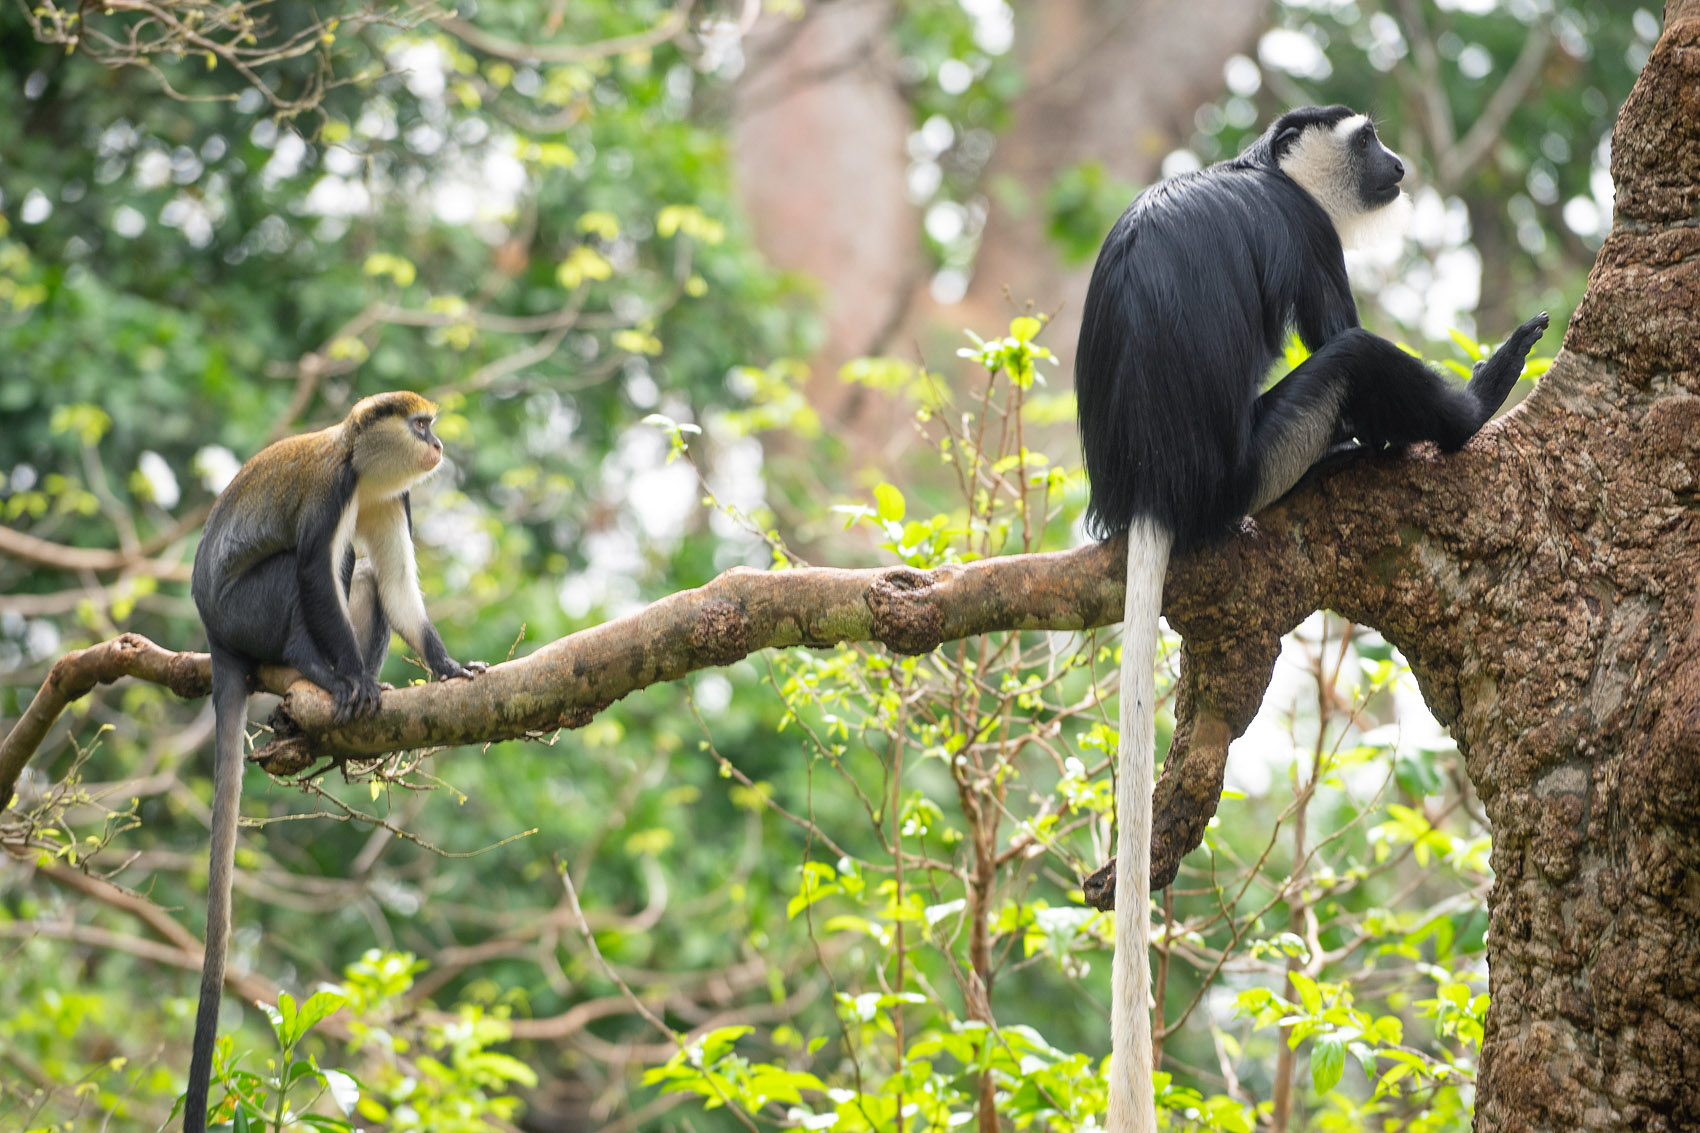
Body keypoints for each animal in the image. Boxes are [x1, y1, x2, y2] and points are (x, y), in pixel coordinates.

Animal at [183, 391, 482, 1129]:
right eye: (421, 425)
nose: (438, 447)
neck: (364, 467)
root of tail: (213, 632)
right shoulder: (332, 490)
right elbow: (317, 572)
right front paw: (347, 678)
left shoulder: (393, 500)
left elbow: (397, 584)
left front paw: (446, 668)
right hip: (246, 611)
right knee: (305, 572)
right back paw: (323, 672)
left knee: (367, 573)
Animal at [1081, 103, 1550, 1122]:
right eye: (1369, 140)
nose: (1400, 163)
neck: (1263, 170)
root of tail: (1154, 494)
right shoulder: (1306, 233)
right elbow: (1338, 329)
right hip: (1262, 458)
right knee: (1353, 359)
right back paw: (1465, 409)